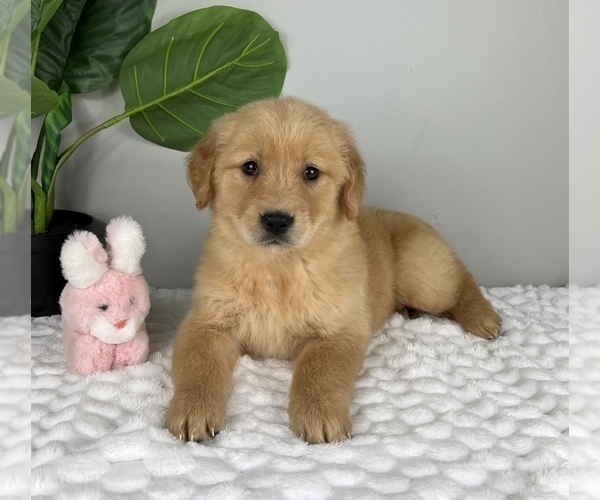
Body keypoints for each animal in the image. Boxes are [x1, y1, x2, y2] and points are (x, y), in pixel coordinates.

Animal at [165, 95, 502, 444]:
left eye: (311, 172)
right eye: (249, 167)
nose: (276, 220)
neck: (279, 269)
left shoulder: (338, 329)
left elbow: (319, 370)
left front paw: (319, 413)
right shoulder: (207, 323)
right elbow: (198, 365)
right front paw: (193, 408)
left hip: (422, 273)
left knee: (461, 279)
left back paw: (483, 317)